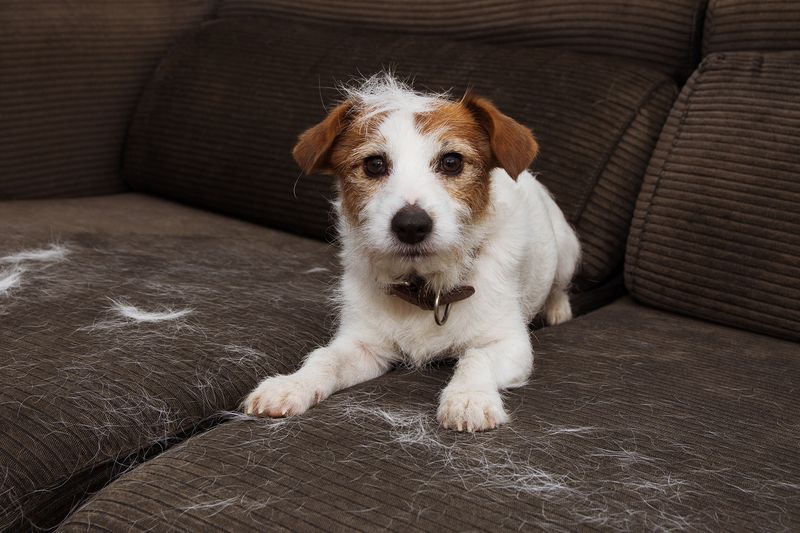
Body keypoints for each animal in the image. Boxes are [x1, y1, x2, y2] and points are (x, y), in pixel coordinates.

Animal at [244, 72, 580, 430]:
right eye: (374, 164)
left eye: (452, 162)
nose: (410, 225)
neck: (425, 288)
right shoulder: (363, 344)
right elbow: (325, 359)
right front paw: (291, 385)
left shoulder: (509, 343)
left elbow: (477, 357)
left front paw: (468, 397)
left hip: (567, 251)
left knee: (559, 286)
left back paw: (558, 310)